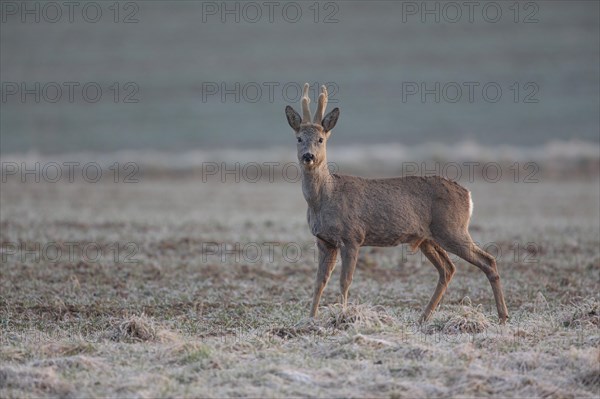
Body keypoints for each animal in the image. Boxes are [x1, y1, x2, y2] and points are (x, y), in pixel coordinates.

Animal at [284, 83, 508, 324]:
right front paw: (310, 319)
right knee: (448, 269)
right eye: (299, 138)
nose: (308, 156)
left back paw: (503, 316)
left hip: (453, 229)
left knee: (488, 260)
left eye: (321, 139)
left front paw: (344, 316)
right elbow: (319, 282)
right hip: (429, 238)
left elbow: (345, 281)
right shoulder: (324, 240)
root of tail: (467, 195)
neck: (325, 198)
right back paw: (423, 317)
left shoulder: (353, 236)